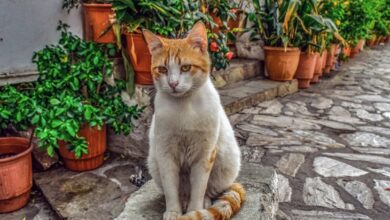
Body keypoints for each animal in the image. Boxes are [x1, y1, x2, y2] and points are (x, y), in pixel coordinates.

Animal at [145, 21, 245, 220]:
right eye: (162, 69)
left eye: (185, 67)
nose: (173, 83)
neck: (184, 107)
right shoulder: (166, 154)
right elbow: (171, 189)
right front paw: (173, 211)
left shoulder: (204, 155)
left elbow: (199, 188)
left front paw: (194, 211)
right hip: (153, 161)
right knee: (180, 191)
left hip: (225, 160)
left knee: (210, 191)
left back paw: (203, 204)